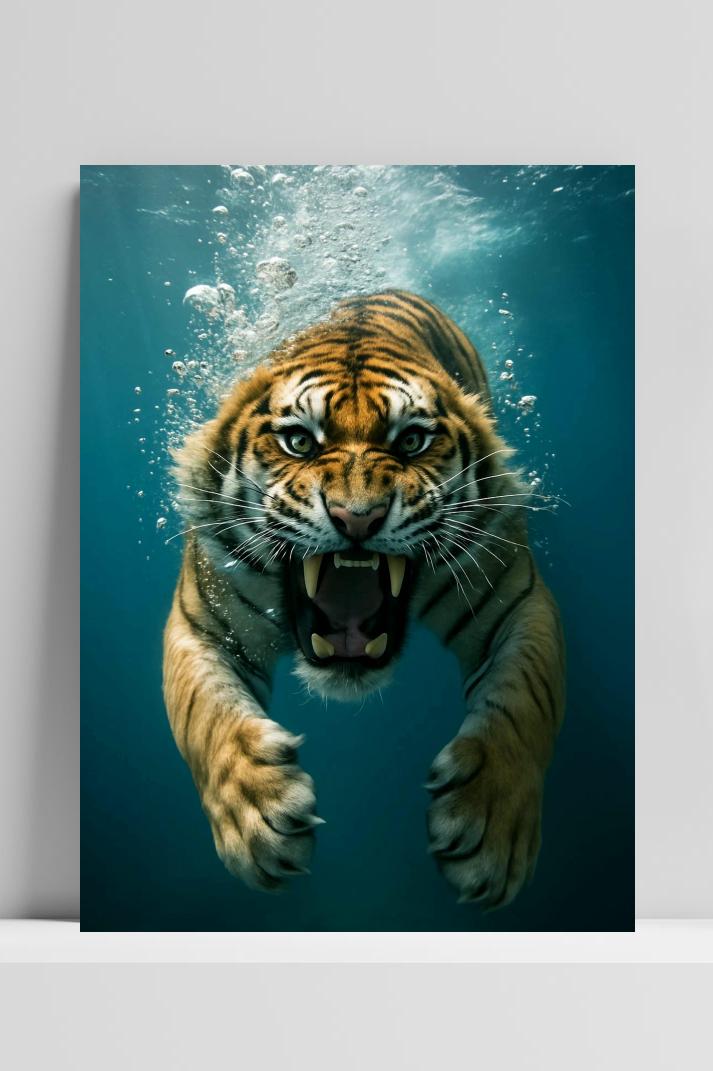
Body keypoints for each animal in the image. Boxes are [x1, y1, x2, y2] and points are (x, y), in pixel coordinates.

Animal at [163, 289, 565, 909]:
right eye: (299, 441)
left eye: (412, 442)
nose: (357, 517)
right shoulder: (201, 623)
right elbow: (204, 716)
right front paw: (258, 817)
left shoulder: (518, 602)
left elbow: (525, 703)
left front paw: (491, 828)